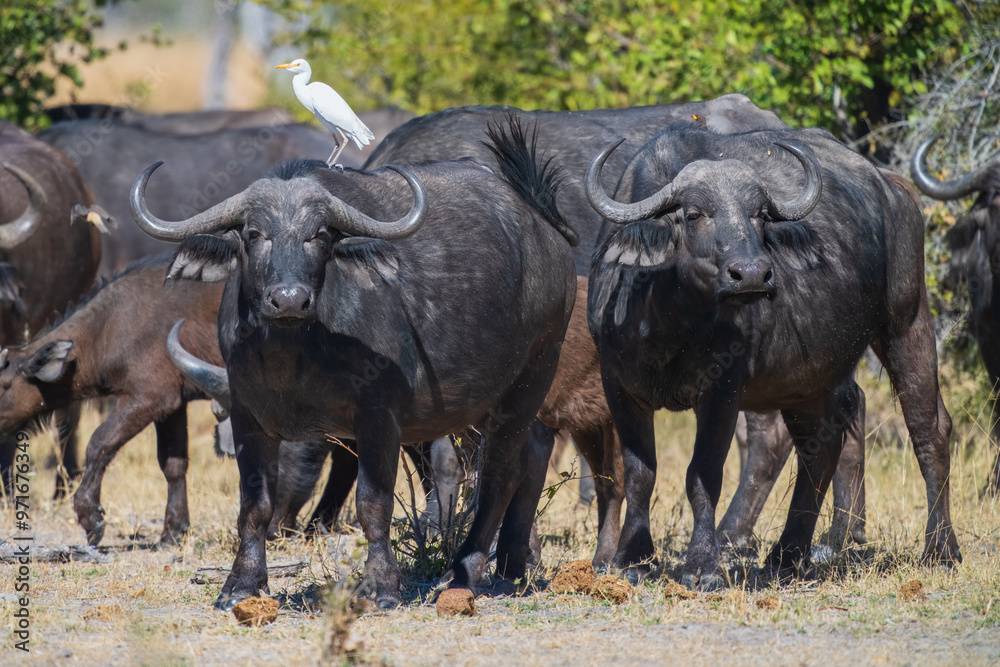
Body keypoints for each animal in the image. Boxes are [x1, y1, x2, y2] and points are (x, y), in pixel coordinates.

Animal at [585, 124, 958, 589]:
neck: (672, 323)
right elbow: (641, 472)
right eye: (694, 214)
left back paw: (940, 550)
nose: (751, 274)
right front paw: (631, 560)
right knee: (821, 447)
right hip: (807, 379)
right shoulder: (618, 386)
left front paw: (701, 567)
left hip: (907, 323)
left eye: (760, 214)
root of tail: (891, 185)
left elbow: (702, 474)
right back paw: (788, 554)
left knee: (929, 430)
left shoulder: (722, 390)